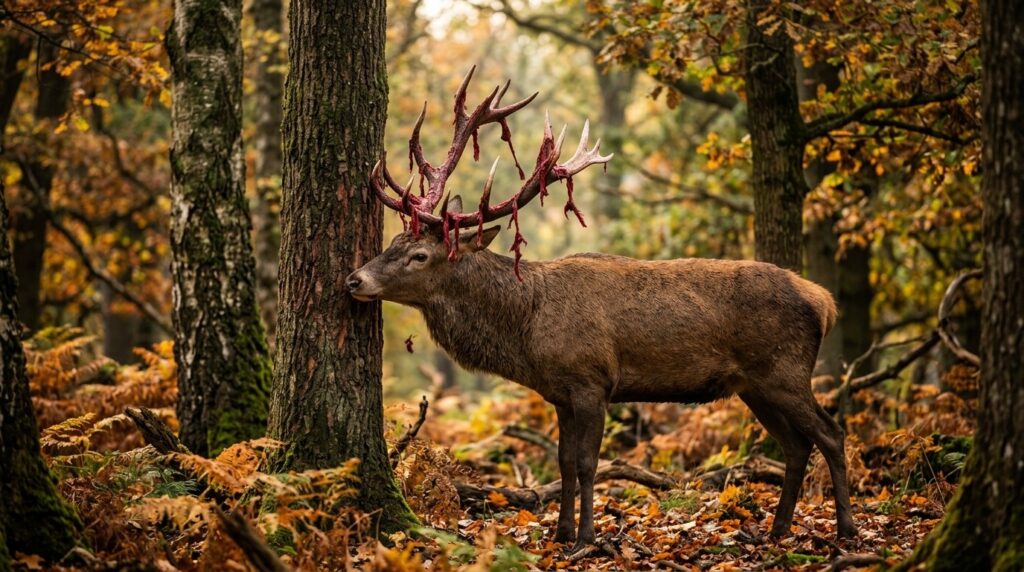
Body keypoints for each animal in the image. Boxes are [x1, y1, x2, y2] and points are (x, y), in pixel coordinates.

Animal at [346, 67, 856, 552]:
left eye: (419, 256)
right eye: (393, 241)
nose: (355, 279)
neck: (527, 330)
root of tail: (824, 301)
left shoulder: (592, 379)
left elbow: (589, 464)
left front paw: (585, 540)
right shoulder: (559, 393)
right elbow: (563, 463)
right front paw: (559, 534)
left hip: (784, 370)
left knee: (830, 433)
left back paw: (846, 530)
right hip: (754, 385)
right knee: (796, 446)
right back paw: (778, 529)